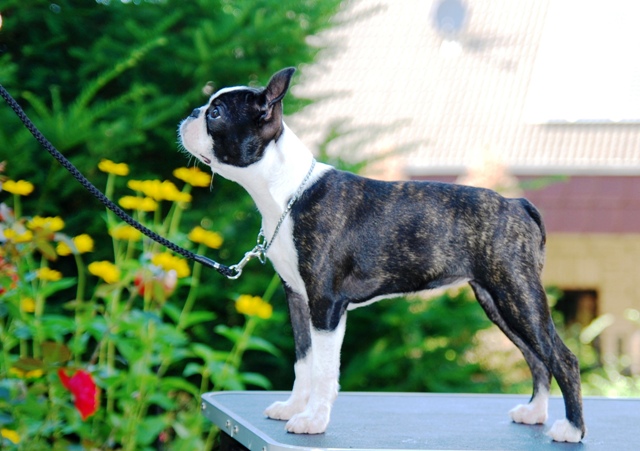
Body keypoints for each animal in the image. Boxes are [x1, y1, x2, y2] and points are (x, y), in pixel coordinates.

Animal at [179, 67, 585, 442]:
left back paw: (571, 428)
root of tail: (517, 203)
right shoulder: (297, 298)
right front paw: (294, 408)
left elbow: (324, 370)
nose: (190, 113)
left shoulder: (326, 304)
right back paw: (534, 413)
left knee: (561, 357)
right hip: (497, 301)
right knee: (536, 357)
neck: (287, 192)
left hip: (517, 294)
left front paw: (313, 420)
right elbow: (303, 360)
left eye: (216, 114)